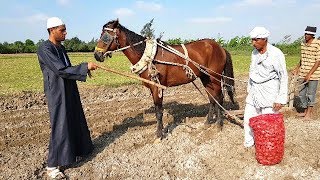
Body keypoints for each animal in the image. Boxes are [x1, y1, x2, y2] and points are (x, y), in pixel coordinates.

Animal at [94, 19, 236, 138]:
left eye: (105, 36)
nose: (96, 55)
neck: (148, 56)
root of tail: (220, 47)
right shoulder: (152, 88)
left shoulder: (157, 86)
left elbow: (159, 111)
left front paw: (159, 134)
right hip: (205, 78)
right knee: (212, 99)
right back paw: (207, 122)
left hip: (215, 77)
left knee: (219, 98)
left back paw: (219, 124)